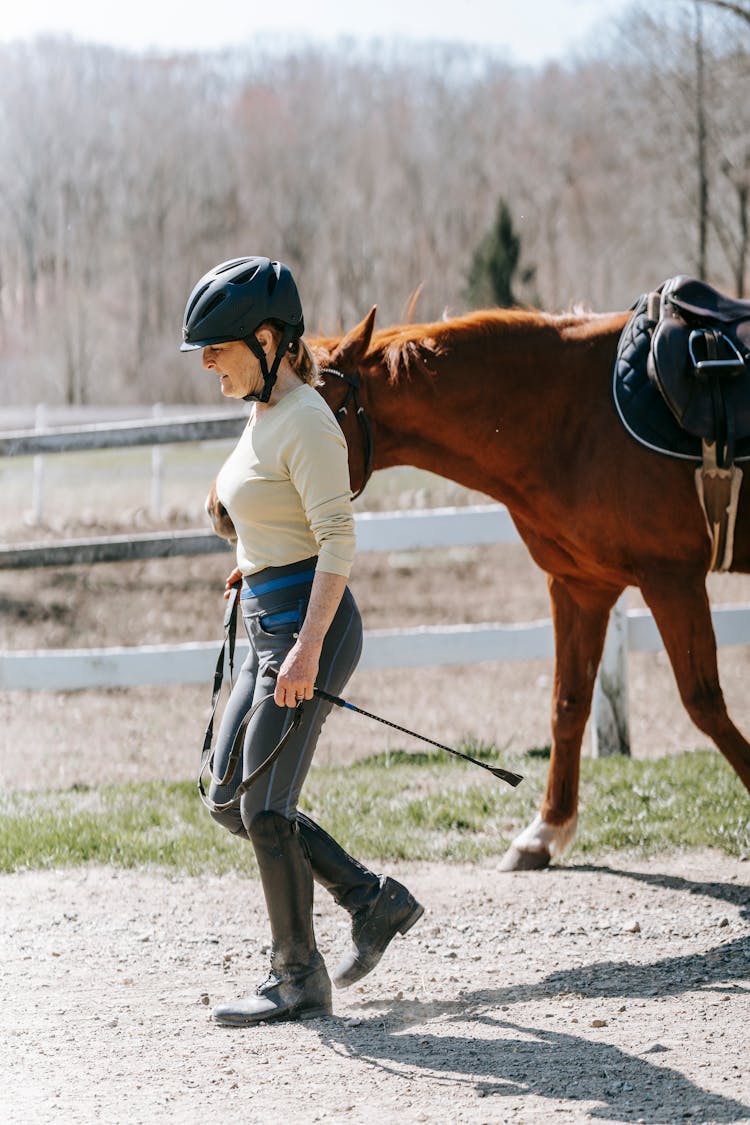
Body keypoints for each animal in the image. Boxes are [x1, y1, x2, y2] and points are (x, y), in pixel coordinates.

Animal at [208, 306, 750, 868]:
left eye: (323, 405)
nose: (219, 509)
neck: (576, 416)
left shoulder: (672, 579)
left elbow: (704, 702)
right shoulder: (581, 584)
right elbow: (568, 704)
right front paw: (544, 832)